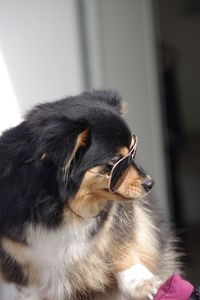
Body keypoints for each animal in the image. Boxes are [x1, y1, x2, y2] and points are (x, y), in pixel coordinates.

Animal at [0, 90, 181, 298]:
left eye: (132, 154)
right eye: (116, 161)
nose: (150, 183)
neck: (57, 205)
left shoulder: (114, 215)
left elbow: (120, 244)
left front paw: (141, 285)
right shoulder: (13, 253)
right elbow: (22, 288)